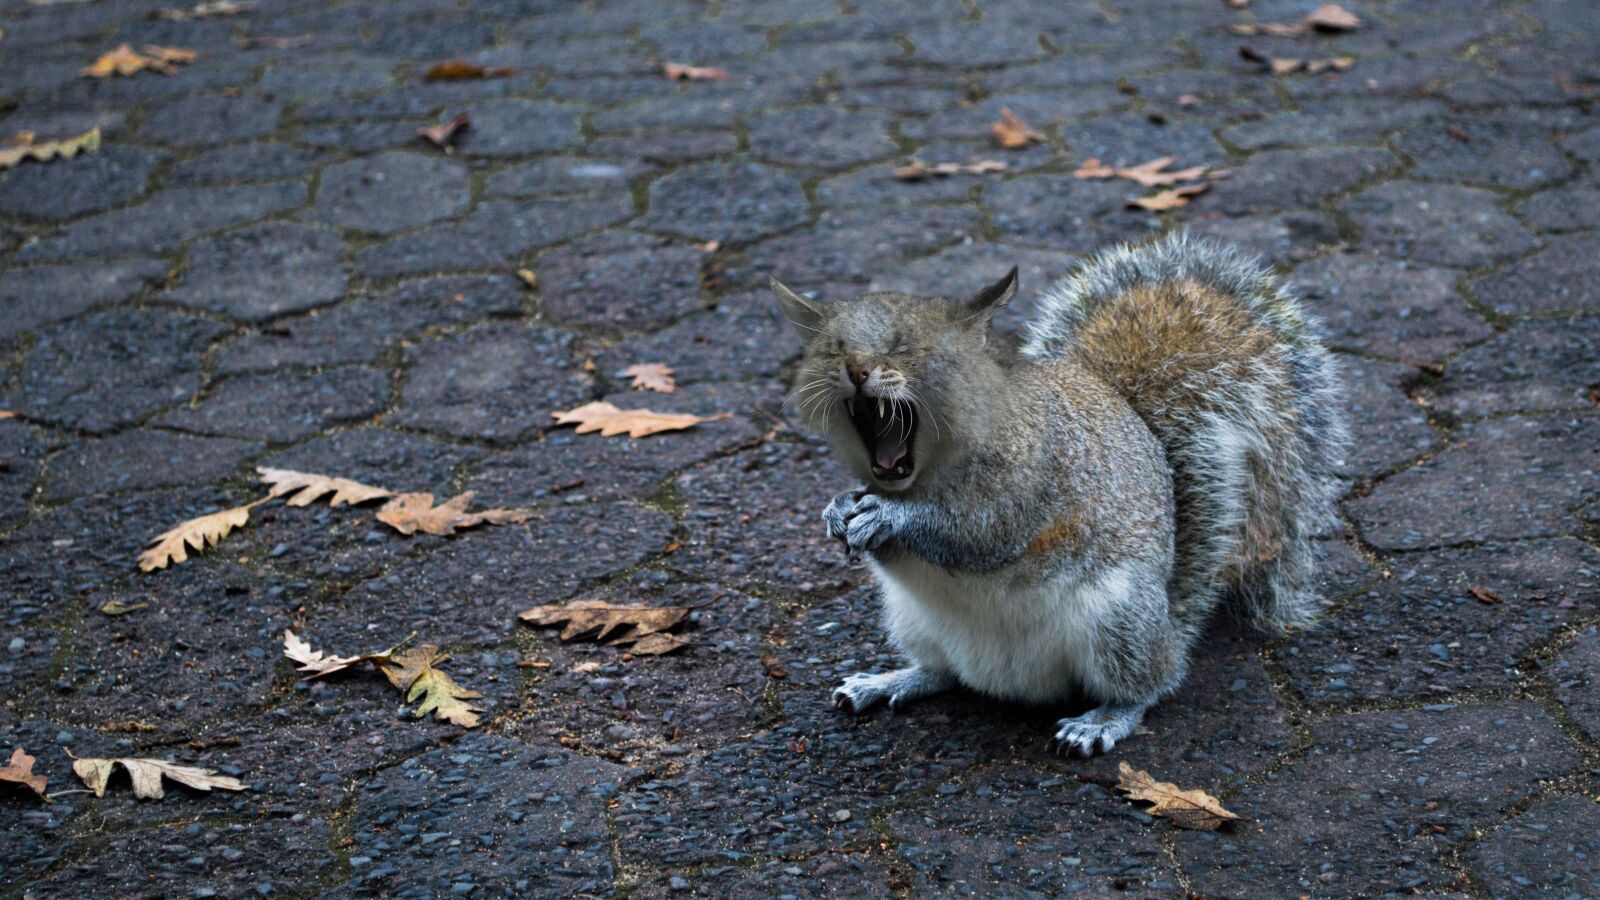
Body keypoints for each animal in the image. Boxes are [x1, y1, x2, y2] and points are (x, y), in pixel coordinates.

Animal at [771, 232, 1348, 756]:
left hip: (1119, 623)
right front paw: (838, 509)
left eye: (909, 347)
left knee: (1152, 683)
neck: (927, 473)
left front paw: (890, 517)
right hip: (911, 619)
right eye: (830, 349)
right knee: (945, 673)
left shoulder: (1035, 479)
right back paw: (890, 681)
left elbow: (979, 534)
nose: (856, 370)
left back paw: (1105, 719)